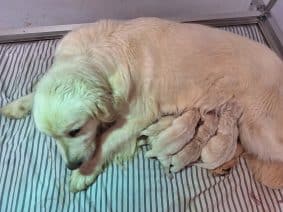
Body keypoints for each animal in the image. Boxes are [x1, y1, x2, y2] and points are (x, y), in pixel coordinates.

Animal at [1, 17, 283, 191]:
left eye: (75, 130)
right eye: (51, 136)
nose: (72, 165)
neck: (94, 55)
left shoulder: (139, 116)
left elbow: (106, 140)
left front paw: (84, 173)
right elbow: (35, 91)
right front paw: (17, 106)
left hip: (259, 129)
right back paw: (224, 165)